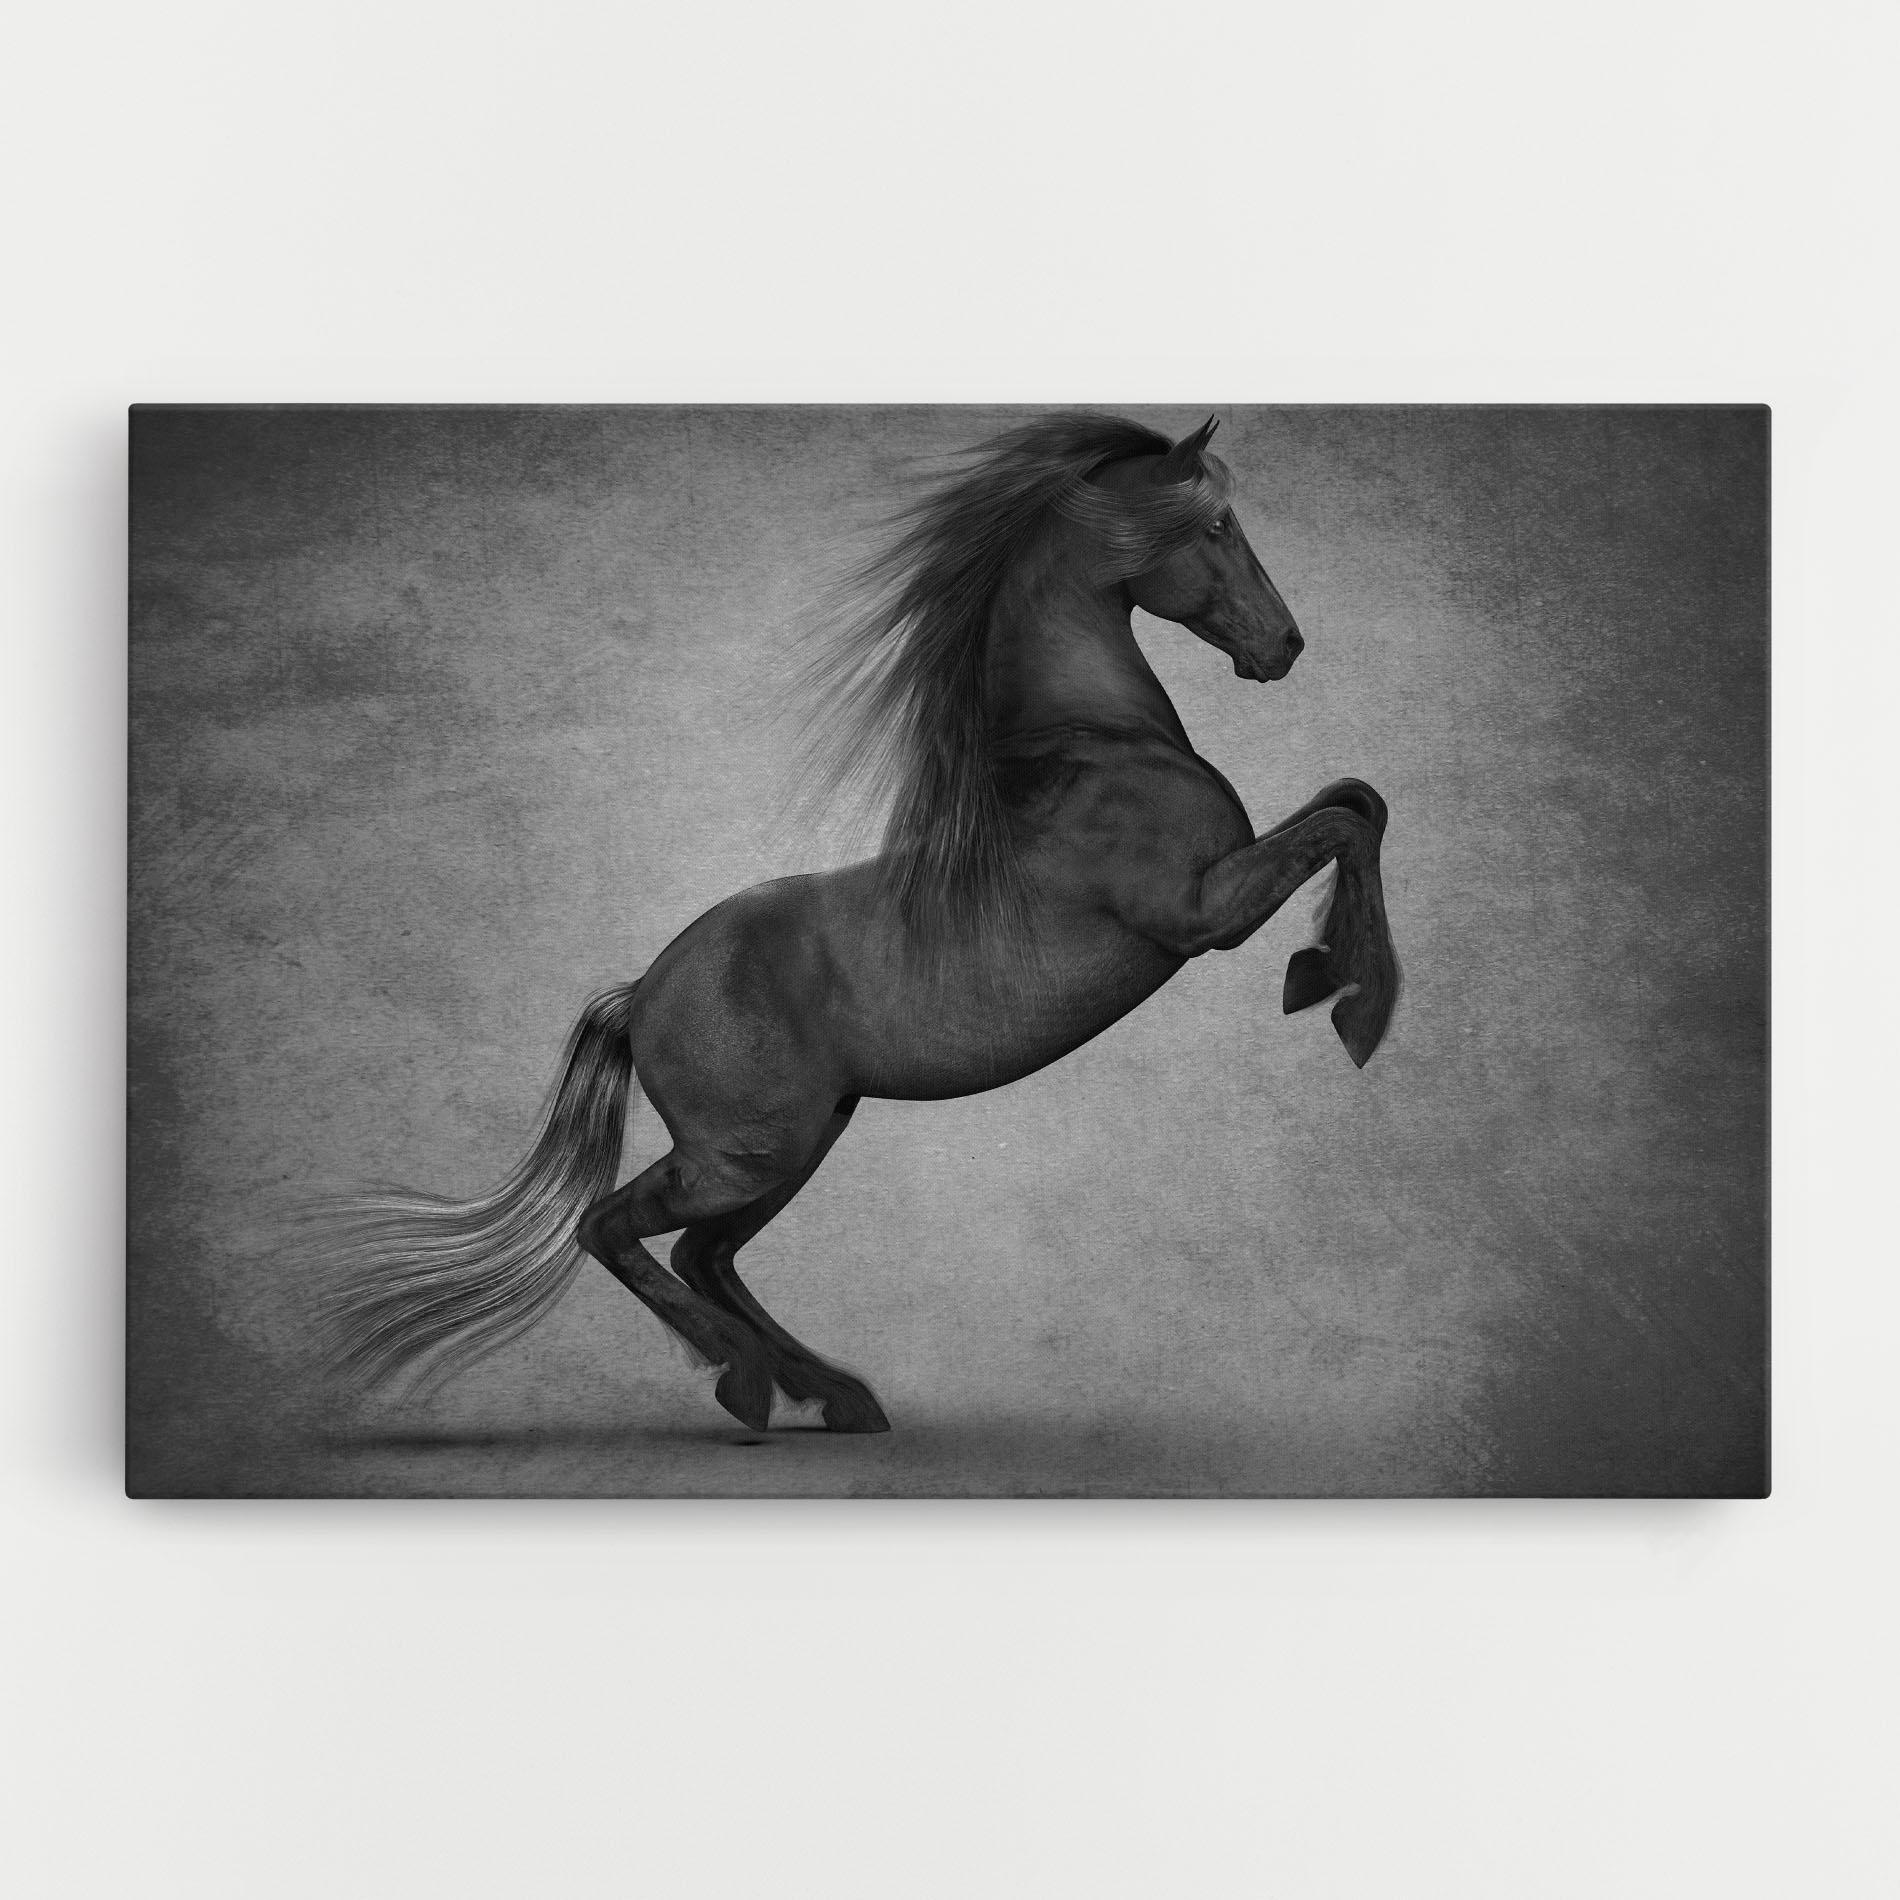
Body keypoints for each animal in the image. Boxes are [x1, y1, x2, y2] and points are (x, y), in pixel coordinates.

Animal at [319, 412, 1400, 1434]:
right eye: (1215, 525)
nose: (1285, 646)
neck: (1097, 746)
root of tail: (641, 994)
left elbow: (1359, 799)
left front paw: (1332, 974)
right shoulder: (1198, 913)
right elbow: (1344, 819)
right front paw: (1349, 1001)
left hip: (794, 1146)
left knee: (705, 1254)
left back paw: (833, 1395)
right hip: (744, 1155)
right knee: (613, 1228)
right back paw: (750, 1383)